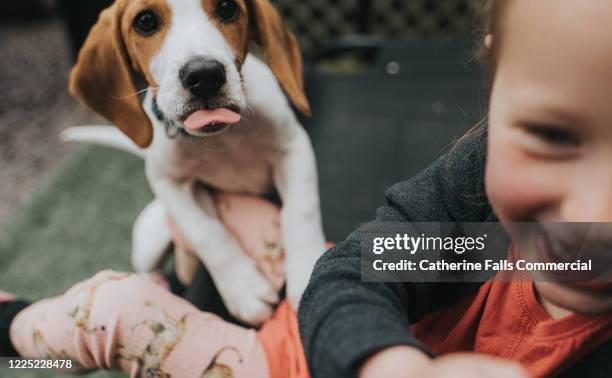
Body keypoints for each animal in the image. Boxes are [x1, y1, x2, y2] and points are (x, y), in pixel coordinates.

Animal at [64, 0, 328, 324]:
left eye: (227, 8)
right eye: (145, 21)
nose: (204, 75)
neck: (222, 140)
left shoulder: (292, 148)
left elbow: (300, 212)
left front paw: (306, 270)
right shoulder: (167, 182)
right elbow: (205, 231)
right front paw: (243, 287)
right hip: (151, 235)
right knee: (146, 266)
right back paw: (157, 283)